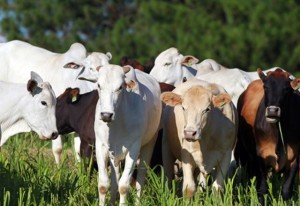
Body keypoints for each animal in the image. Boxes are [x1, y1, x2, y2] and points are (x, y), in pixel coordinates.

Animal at [78, 64, 162, 206]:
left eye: (120, 87)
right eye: (99, 85)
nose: (106, 115)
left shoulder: (133, 148)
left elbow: (123, 186)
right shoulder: (101, 146)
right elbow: (103, 185)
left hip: (149, 144)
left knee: (140, 178)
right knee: (115, 179)